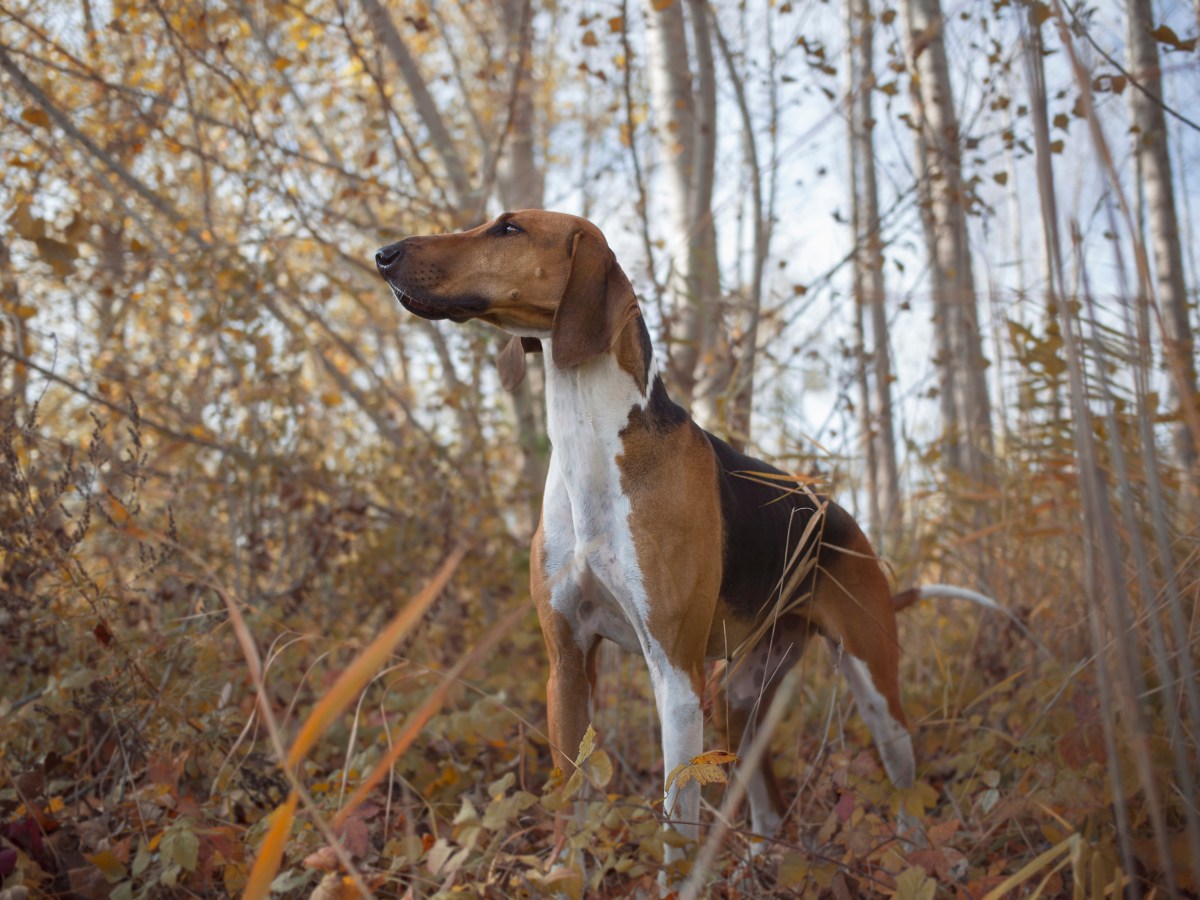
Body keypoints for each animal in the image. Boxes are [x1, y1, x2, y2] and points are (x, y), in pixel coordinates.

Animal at [376, 210, 916, 868]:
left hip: (871, 685)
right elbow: (571, 799)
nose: (383, 254)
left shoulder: (675, 678)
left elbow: (674, 826)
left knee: (903, 773)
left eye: (508, 229)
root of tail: (838, 512)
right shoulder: (567, 666)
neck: (588, 445)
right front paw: (564, 874)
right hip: (738, 697)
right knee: (766, 792)